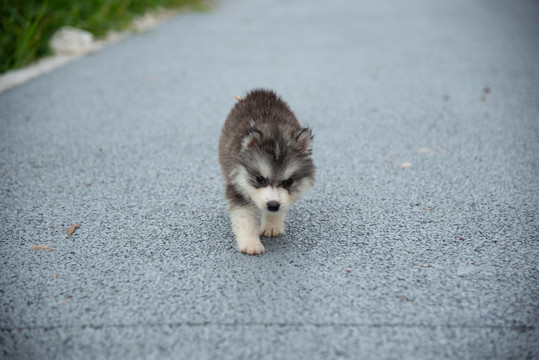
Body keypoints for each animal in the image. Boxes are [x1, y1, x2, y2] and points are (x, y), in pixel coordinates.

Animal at [219, 89, 316, 255]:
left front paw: (272, 226)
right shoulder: (237, 187)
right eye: (260, 179)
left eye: (288, 182)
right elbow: (246, 220)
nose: (272, 205)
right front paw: (250, 244)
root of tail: (261, 92)